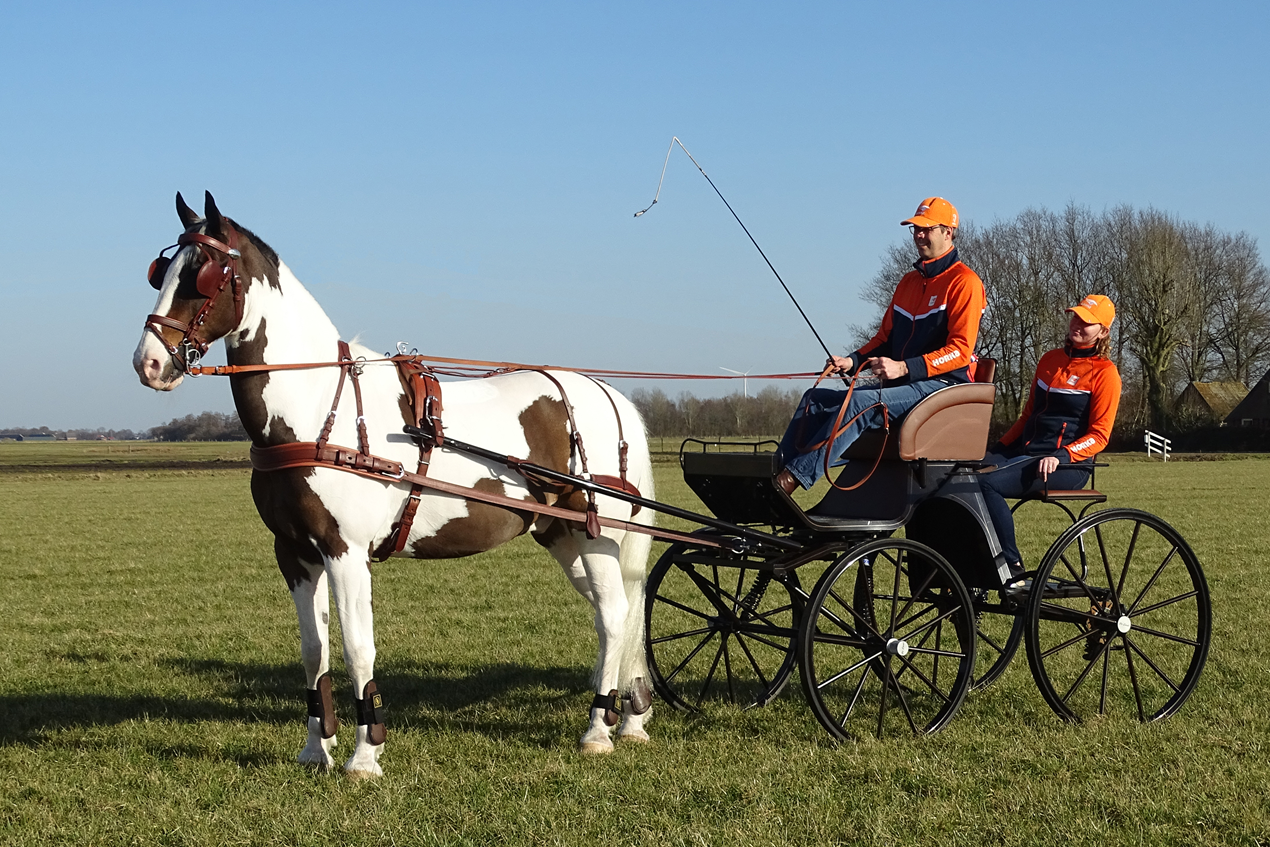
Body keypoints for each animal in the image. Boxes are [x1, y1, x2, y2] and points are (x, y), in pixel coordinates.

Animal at [133, 192, 656, 777]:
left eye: (205, 275)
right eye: (160, 273)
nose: (148, 362)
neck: (319, 408)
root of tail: (609, 394)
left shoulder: (345, 551)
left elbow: (358, 647)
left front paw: (365, 753)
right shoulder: (294, 553)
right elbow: (314, 651)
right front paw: (315, 750)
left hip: (596, 535)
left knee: (614, 616)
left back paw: (597, 729)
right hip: (563, 536)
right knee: (620, 613)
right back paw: (629, 718)